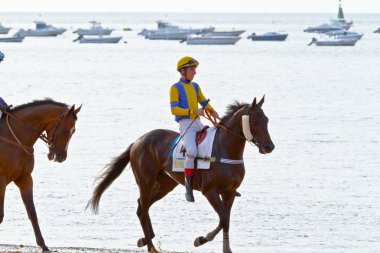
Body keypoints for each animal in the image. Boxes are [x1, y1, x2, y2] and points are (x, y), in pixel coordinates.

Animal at [0, 99, 81, 253]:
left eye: (74, 131)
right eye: (66, 130)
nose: (61, 157)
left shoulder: (25, 179)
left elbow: (32, 212)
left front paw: (43, 245)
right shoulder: (1, 183)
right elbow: (0, 215)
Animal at [88, 96, 274, 252]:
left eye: (266, 120)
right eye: (255, 121)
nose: (269, 147)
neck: (224, 149)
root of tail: (138, 141)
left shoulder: (229, 192)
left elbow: (226, 220)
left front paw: (226, 249)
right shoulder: (210, 191)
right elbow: (222, 219)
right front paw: (201, 239)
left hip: (166, 184)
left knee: (142, 206)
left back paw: (146, 239)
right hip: (145, 181)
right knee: (143, 208)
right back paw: (151, 246)